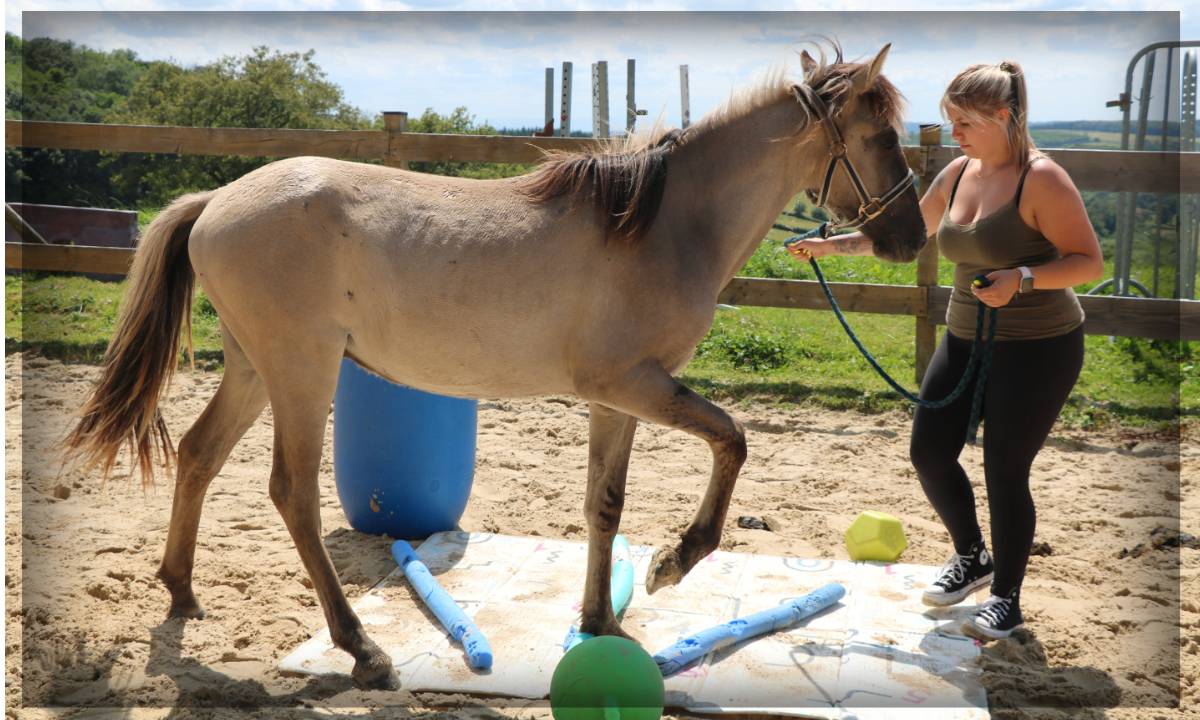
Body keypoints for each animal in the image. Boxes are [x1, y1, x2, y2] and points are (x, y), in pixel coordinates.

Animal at [64, 43, 925, 689]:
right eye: (883, 136)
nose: (912, 237)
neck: (660, 224)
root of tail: (214, 201)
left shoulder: (619, 399)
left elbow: (604, 505)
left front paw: (601, 624)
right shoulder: (633, 385)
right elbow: (733, 440)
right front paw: (674, 563)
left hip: (252, 368)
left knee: (199, 456)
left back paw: (182, 592)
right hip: (301, 372)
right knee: (291, 495)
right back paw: (361, 650)